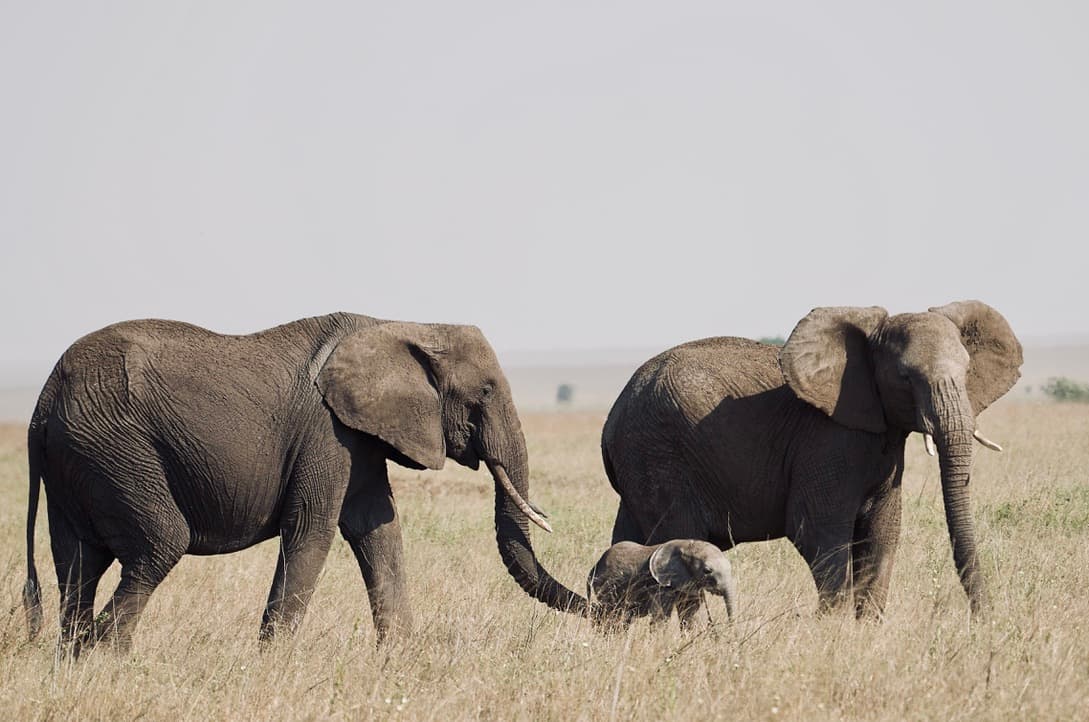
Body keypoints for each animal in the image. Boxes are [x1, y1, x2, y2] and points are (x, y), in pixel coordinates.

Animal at [23, 313, 585, 654]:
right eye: (485, 391)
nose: (600, 608)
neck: (400, 325)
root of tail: (44, 399)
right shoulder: (325, 433)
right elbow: (311, 532)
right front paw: (270, 662)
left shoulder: (357, 438)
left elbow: (379, 531)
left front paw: (400, 658)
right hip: (114, 447)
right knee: (159, 543)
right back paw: (103, 655)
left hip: (80, 460)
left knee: (77, 562)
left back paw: (73, 662)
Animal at [587, 539, 737, 628]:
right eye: (707, 571)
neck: (687, 544)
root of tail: (594, 566)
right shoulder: (660, 584)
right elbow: (661, 616)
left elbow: (689, 614)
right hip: (606, 586)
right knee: (612, 615)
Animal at [601, 301, 1022, 618]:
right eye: (905, 377)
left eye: (967, 371)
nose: (982, 620)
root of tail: (612, 417)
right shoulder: (826, 440)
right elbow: (819, 532)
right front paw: (833, 632)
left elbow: (883, 534)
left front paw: (866, 633)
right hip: (658, 456)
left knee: (630, 543)